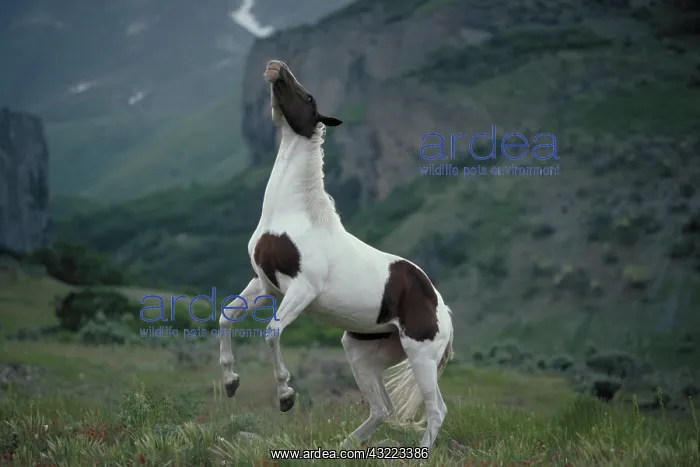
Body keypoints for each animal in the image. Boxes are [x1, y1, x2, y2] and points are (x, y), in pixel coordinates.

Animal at [218, 60, 454, 450]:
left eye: (309, 97)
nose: (275, 66)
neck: (295, 214)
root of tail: (442, 310)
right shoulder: (265, 285)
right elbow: (226, 317)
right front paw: (230, 382)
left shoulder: (301, 290)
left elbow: (272, 332)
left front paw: (286, 396)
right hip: (363, 354)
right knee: (382, 408)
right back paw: (344, 446)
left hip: (420, 356)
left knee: (436, 410)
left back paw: (418, 453)